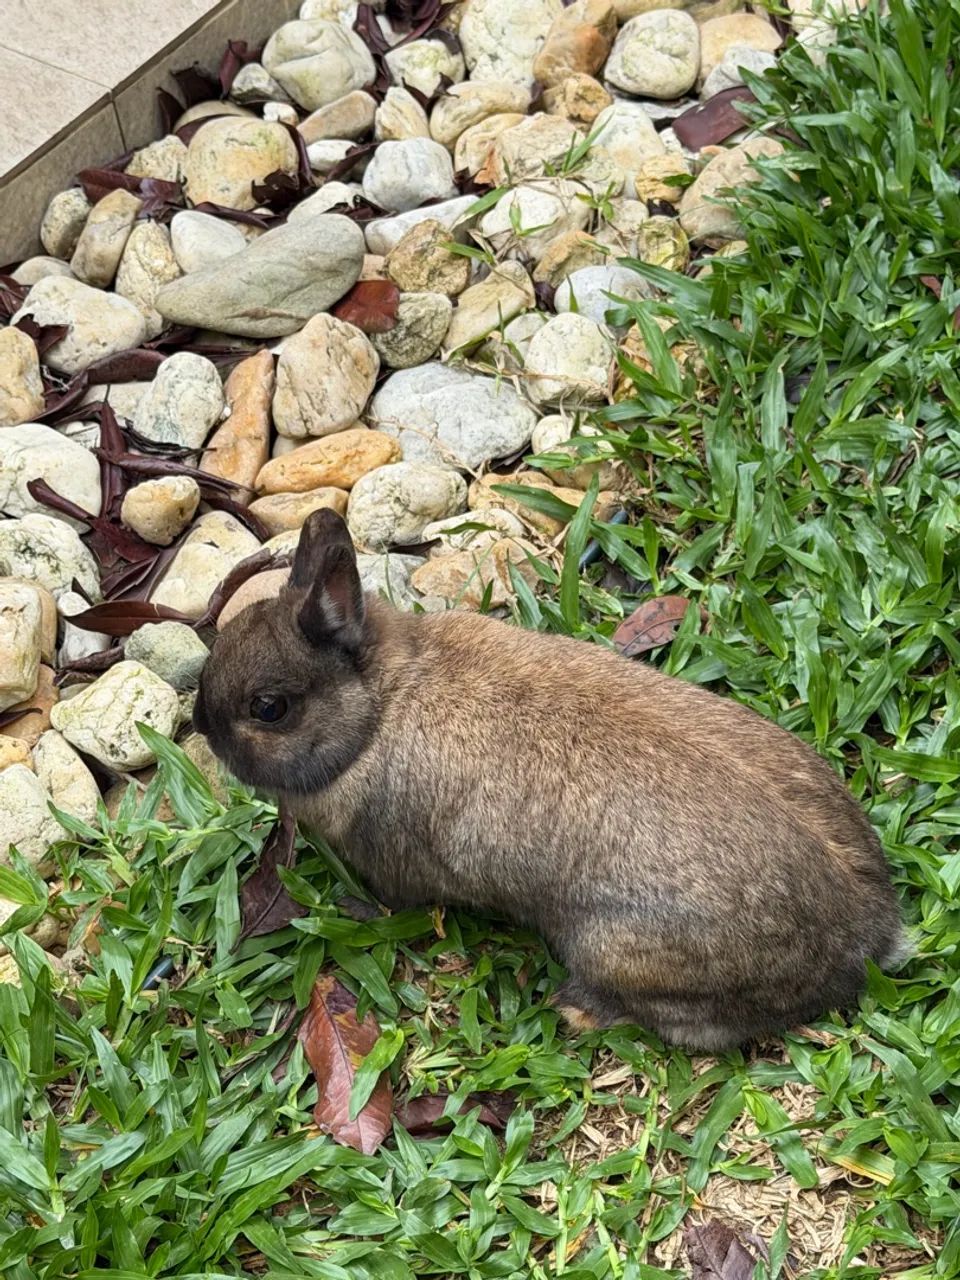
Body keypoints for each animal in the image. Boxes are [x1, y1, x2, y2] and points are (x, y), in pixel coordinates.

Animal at [193, 509, 905, 1051]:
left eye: (268, 708)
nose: (200, 726)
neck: (378, 708)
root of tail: (865, 938)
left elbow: (393, 903)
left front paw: (349, 909)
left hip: (620, 949)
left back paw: (574, 1008)